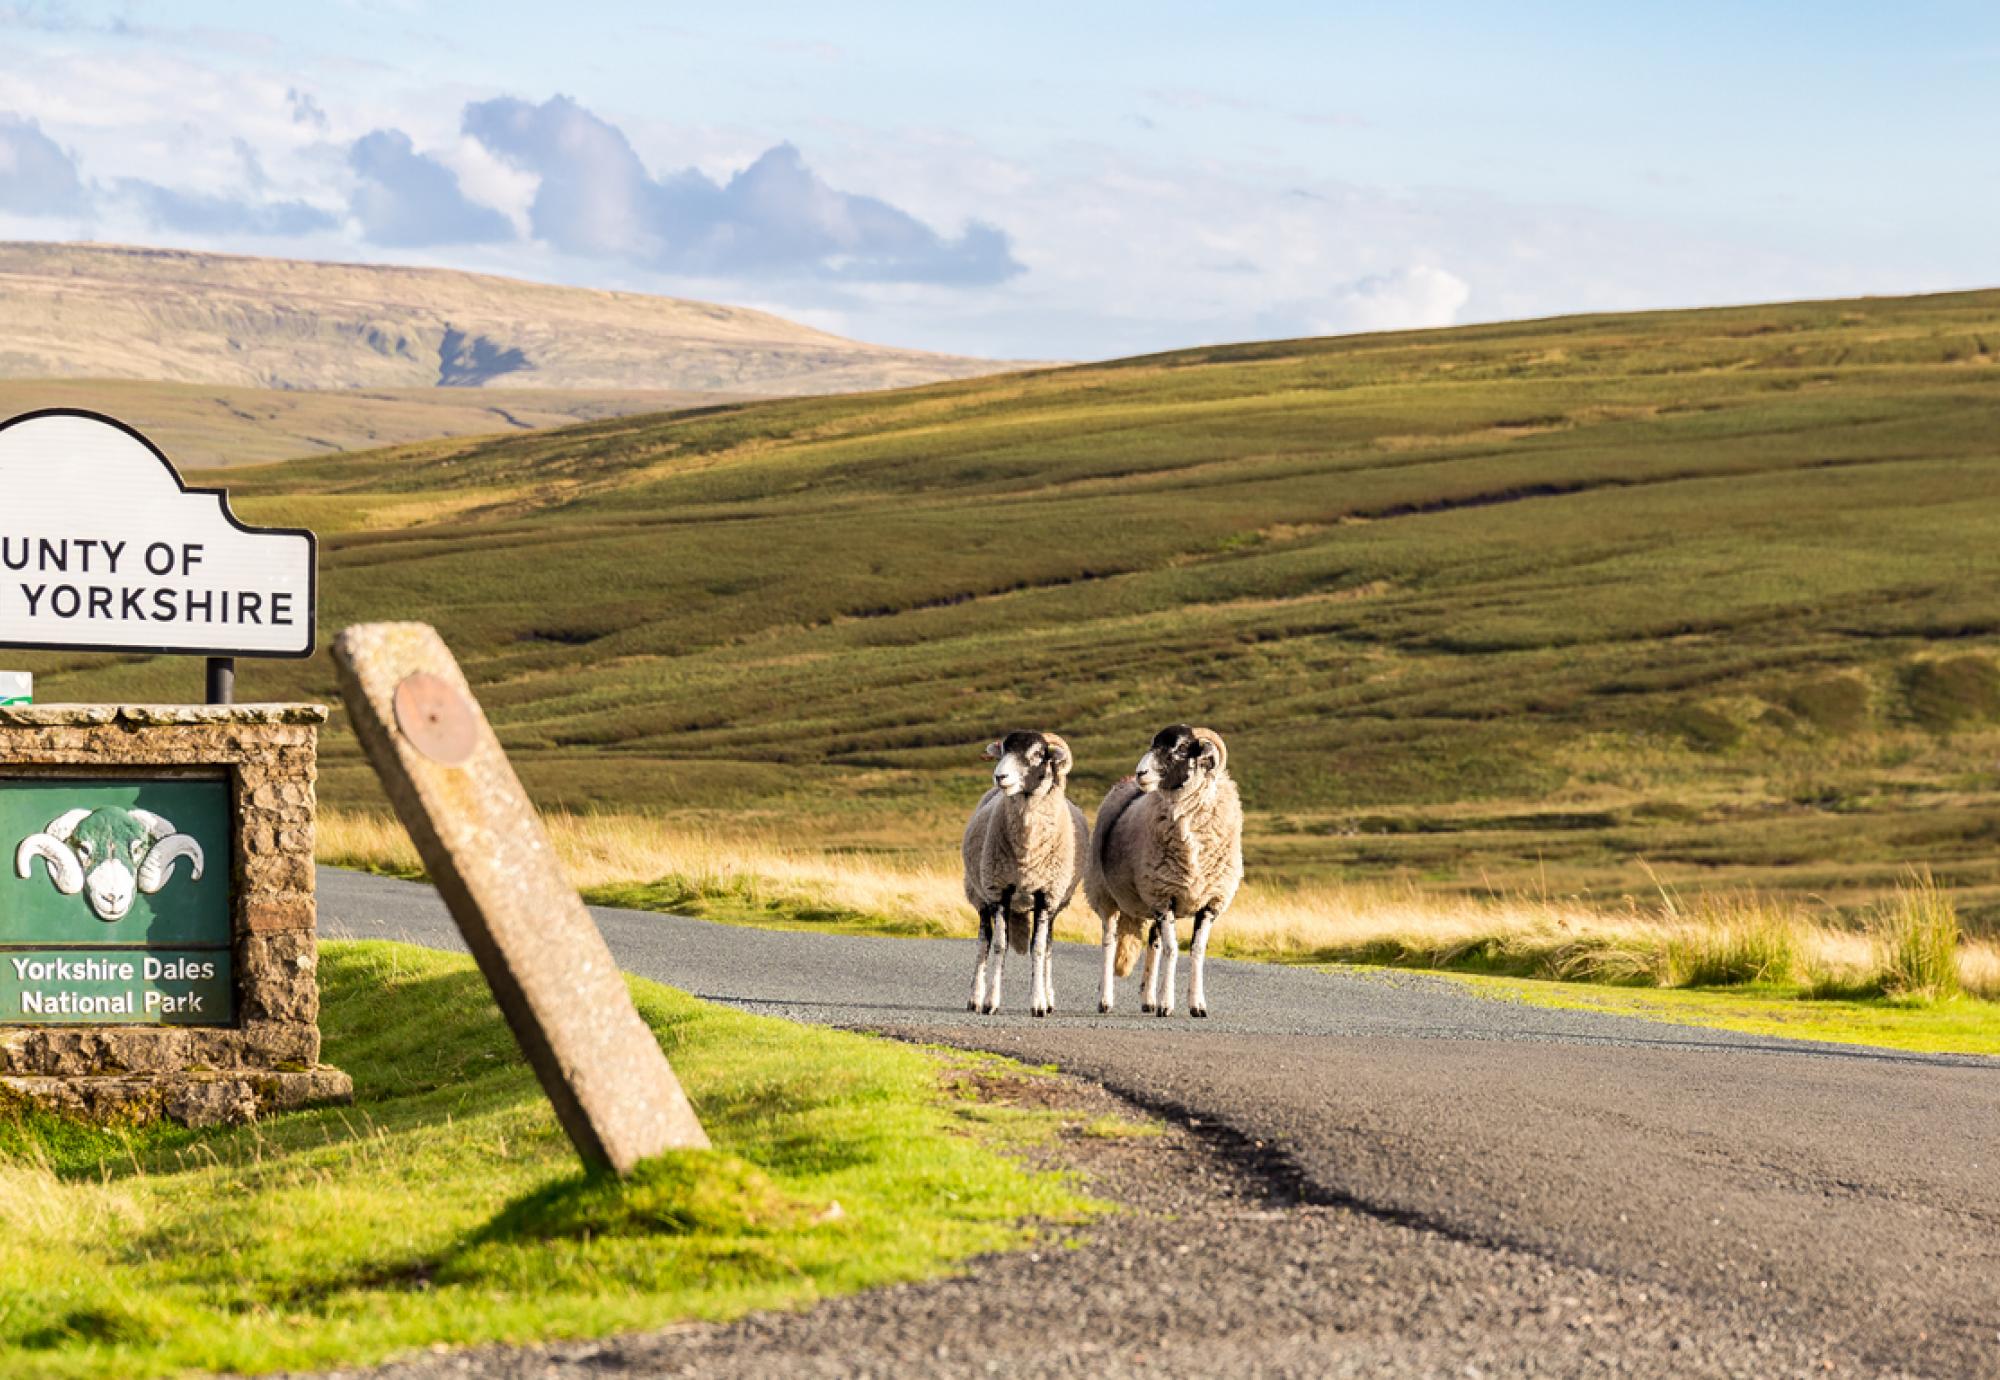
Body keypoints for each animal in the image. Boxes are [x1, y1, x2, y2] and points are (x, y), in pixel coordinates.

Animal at [960, 732, 1088, 1012]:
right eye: (1004, 750)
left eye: (1038, 754)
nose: (1000, 776)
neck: (1026, 854)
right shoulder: (999, 891)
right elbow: (1000, 945)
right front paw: (991, 1002)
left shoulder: (1046, 895)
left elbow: (1038, 948)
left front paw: (1039, 1003)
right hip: (980, 895)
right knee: (983, 942)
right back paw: (975, 997)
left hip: (1054, 905)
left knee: (1048, 945)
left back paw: (1048, 998)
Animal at [1088, 724, 1240, 1016]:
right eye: (1153, 745)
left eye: (1180, 749)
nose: (1141, 773)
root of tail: (1123, 781)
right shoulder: (1163, 897)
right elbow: (1173, 949)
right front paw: (1167, 1004)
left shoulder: (1209, 902)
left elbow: (1196, 950)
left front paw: (1197, 1005)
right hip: (1105, 894)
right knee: (1109, 943)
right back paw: (1105, 999)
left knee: (1153, 943)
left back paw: (1148, 999)